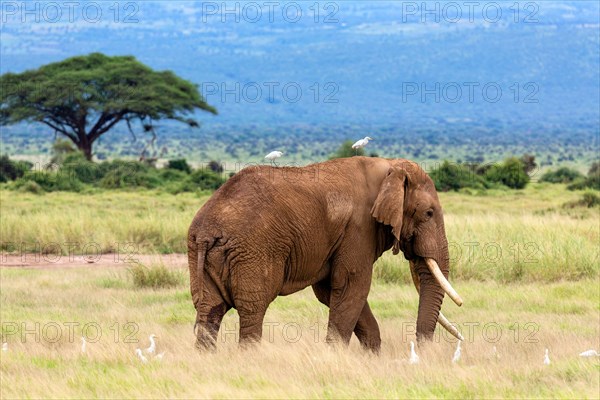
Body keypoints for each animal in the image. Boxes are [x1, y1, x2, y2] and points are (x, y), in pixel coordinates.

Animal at [188, 157, 464, 354]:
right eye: (428, 213)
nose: (421, 351)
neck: (390, 167)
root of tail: (207, 231)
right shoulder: (359, 228)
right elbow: (352, 287)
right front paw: (336, 356)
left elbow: (333, 292)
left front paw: (371, 357)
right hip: (253, 251)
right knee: (252, 309)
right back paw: (250, 358)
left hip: (199, 253)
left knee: (209, 309)